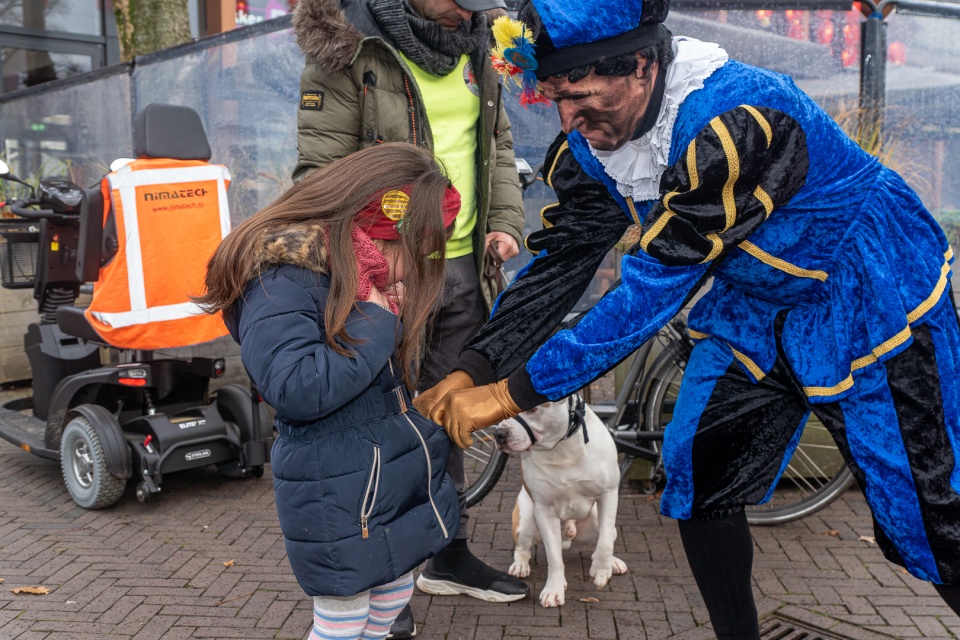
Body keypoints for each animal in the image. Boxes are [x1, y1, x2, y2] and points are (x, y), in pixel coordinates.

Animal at [494, 395, 627, 607]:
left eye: (531, 409)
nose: (499, 433)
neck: (562, 450)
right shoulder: (544, 511)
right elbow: (554, 557)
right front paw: (554, 590)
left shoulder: (609, 493)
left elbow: (605, 541)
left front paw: (602, 569)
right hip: (526, 519)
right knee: (522, 548)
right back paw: (520, 565)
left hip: (597, 519)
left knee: (605, 536)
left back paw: (612, 562)